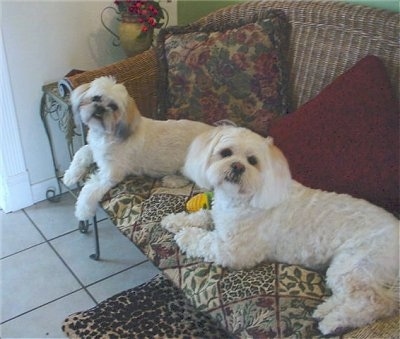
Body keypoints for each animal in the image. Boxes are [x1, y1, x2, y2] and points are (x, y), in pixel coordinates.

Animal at [63, 75, 212, 222]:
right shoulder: (95, 150)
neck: (107, 134)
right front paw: (70, 175)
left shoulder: (110, 173)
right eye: (96, 98)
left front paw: (82, 211)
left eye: (113, 106)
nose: (100, 108)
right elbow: (81, 153)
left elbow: (90, 188)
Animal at [161, 126, 398, 336]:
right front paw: (176, 220)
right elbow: (205, 216)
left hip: (355, 263)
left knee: (374, 302)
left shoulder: (234, 251)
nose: (237, 166)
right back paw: (326, 309)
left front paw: (186, 235)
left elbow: (206, 241)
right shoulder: (220, 217)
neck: (242, 199)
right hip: (346, 267)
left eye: (253, 161)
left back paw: (334, 322)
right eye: (226, 153)